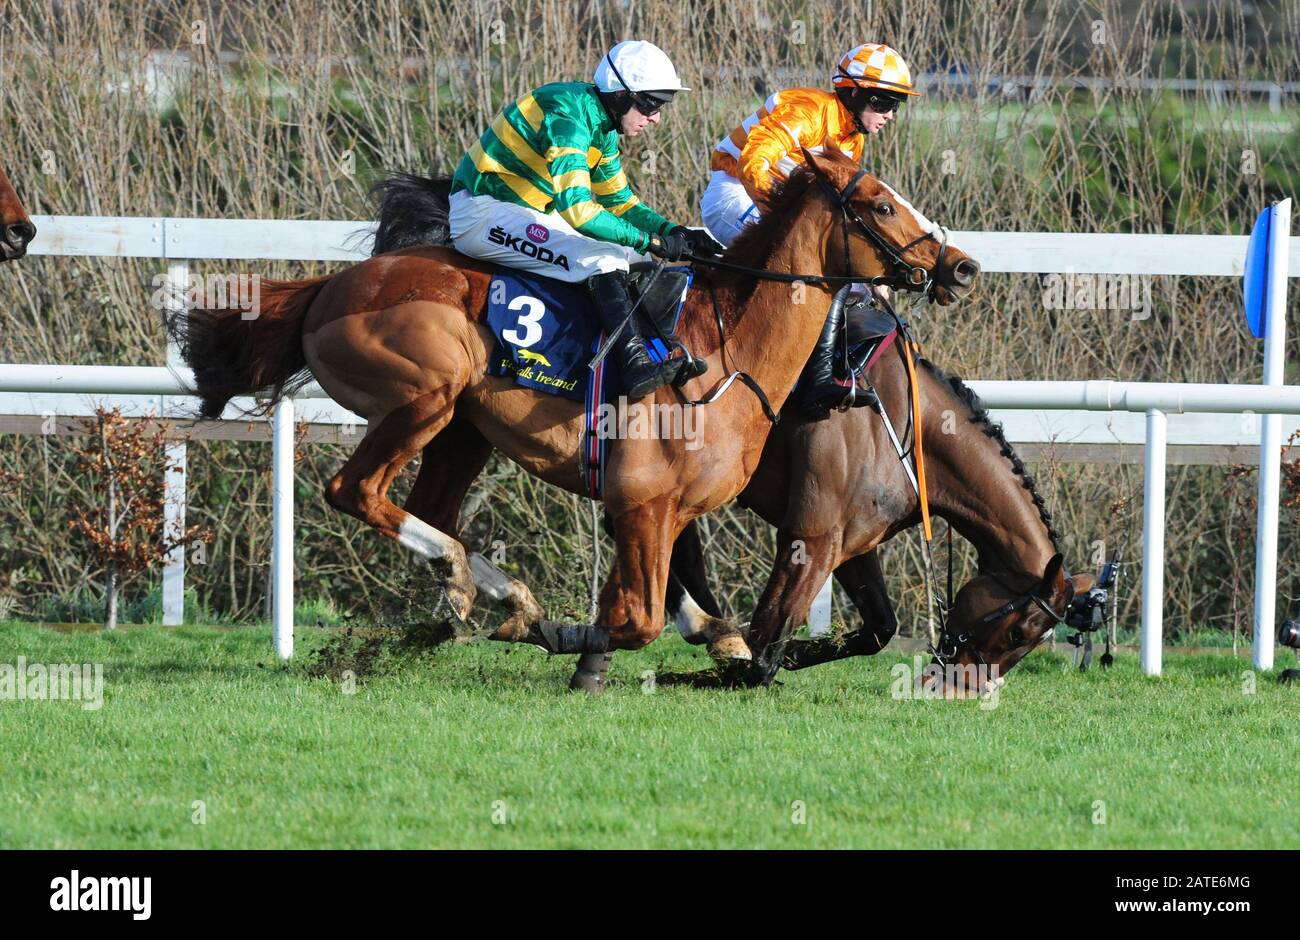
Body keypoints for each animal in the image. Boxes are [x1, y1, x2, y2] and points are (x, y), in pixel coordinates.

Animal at [170, 146, 977, 676]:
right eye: (881, 203)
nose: (962, 266)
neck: (728, 350)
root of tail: (328, 289)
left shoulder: (659, 507)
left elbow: (673, 604)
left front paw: (717, 633)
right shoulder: (643, 499)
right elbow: (636, 622)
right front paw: (575, 642)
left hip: (463, 428)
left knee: (433, 508)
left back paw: (496, 595)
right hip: (426, 396)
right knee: (356, 490)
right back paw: (474, 586)